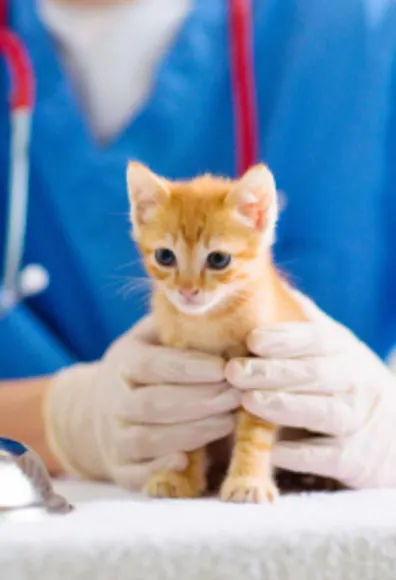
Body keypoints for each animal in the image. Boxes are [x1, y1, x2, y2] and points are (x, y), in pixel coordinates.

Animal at [126, 161, 306, 500]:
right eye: (165, 256)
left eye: (219, 259)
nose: (187, 291)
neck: (209, 320)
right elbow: (188, 429)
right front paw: (180, 477)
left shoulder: (261, 372)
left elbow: (254, 433)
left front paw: (248, 480)